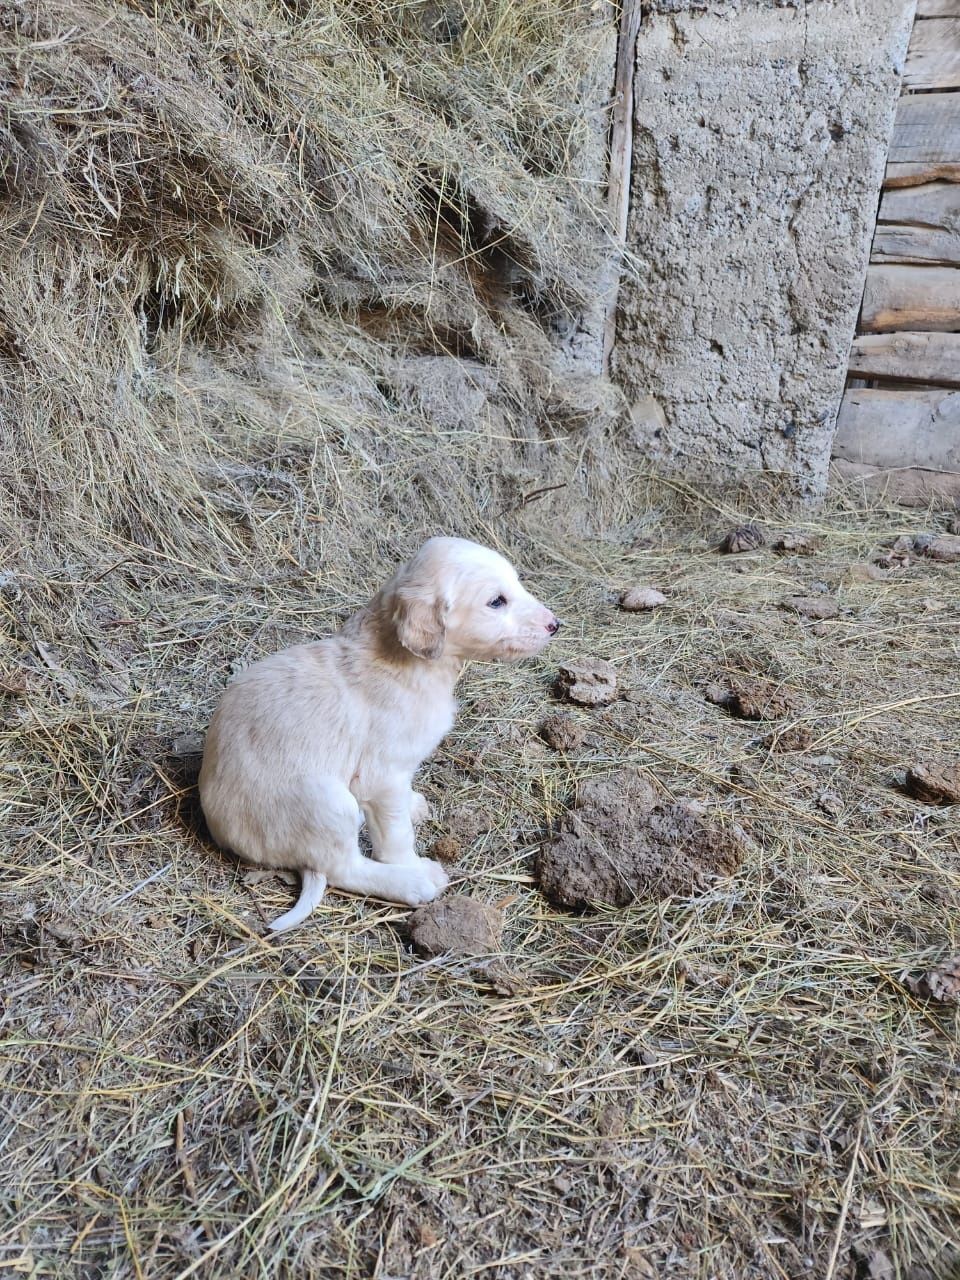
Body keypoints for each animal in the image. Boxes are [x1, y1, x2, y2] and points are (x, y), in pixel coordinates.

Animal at [199, 537, 560, 931]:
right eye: (496, 601)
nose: (555, 624)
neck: (410, 664)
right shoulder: (382, 776)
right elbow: (397, 835)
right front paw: (411, 865)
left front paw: (413, 803)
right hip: (327, 802)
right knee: (343, 868)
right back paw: (412, 882)